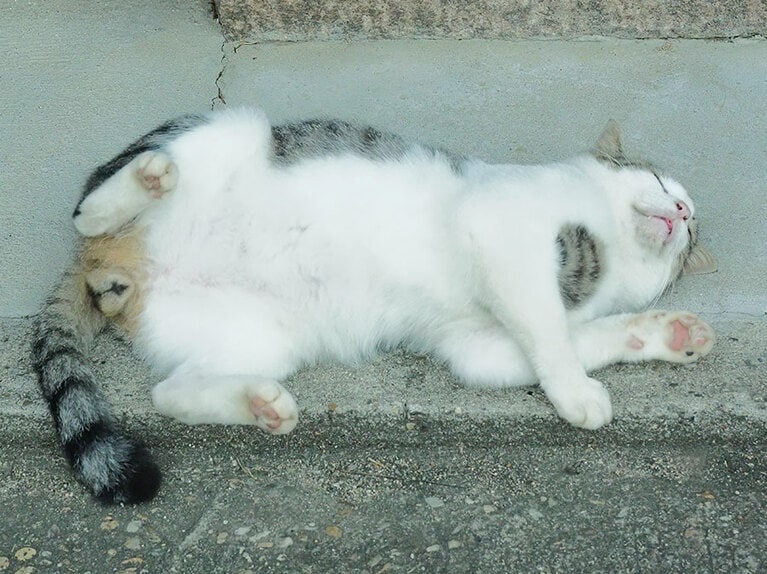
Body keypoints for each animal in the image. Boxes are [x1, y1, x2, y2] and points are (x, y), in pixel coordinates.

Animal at [30, 108, 716, 504]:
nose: (683, 211)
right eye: (659, 184)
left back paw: (260, 404)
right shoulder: (499, 229)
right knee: (88, 207)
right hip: (229, 130)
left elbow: (573, 337)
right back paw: (140, 184)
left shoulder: (477, 344)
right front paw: (577, 393)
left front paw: (664, 335)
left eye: (689, 239)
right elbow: (549, 329)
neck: (603, 259)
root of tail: (113, 265)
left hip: (263, 333)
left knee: (169, 393)